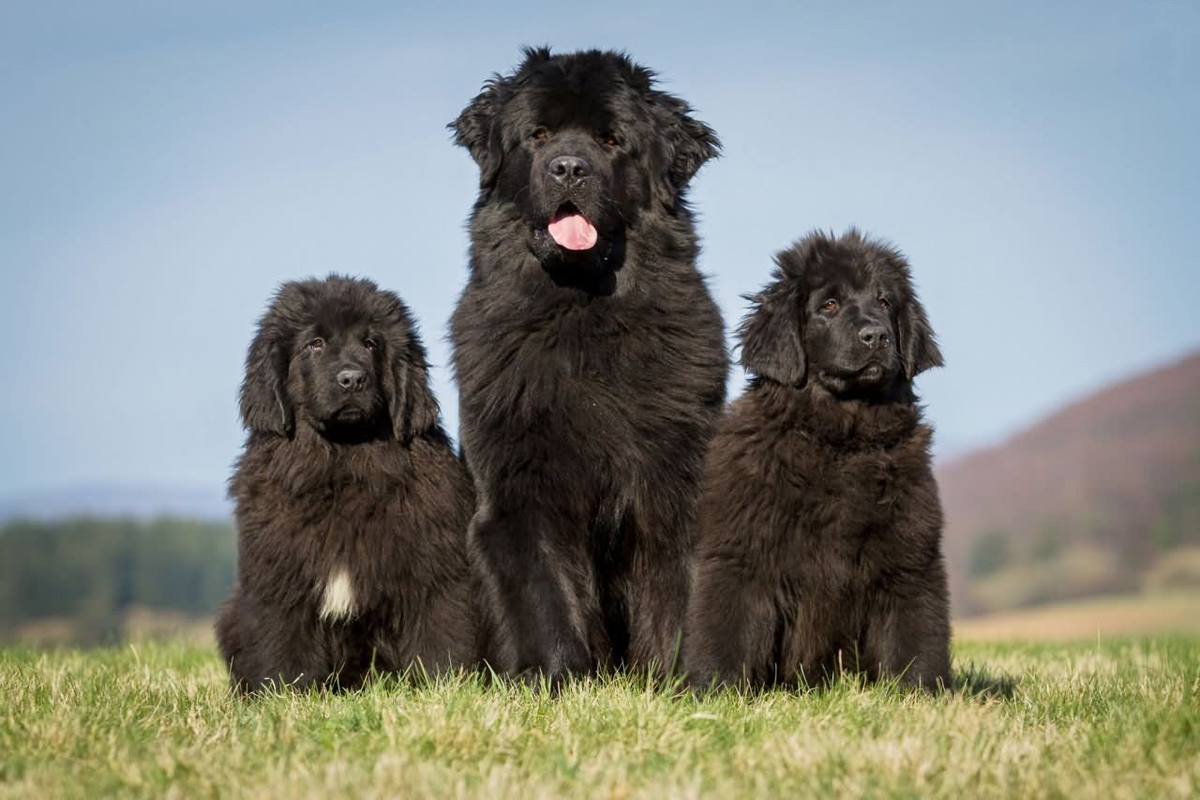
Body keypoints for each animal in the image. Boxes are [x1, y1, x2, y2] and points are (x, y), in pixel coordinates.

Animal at [216, 278, 477, 690]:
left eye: (371, 343)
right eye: (315, 344)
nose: (352, 378)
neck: (343, 462)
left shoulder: (433, 570)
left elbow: (439, 637)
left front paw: (445, 688)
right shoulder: (281, 576)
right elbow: (282, 645)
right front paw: (283, 694)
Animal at [451, 47, 724, 681]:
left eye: (611, 140)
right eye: (538, 135)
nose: (569, 169)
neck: (583, 316)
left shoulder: (677, 483)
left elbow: (676, 593)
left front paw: (679, 681)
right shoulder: (519, 490)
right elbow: (545, 595)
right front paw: (559, 680)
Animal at [686, 227, 945, 690]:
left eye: (884, 302)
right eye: (829, 305)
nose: (876, 336)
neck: (839, 439)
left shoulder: (910, 556)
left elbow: (914, 639)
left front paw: (921, 696)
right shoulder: (741, 552)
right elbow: (726, 630)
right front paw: (713, 691)